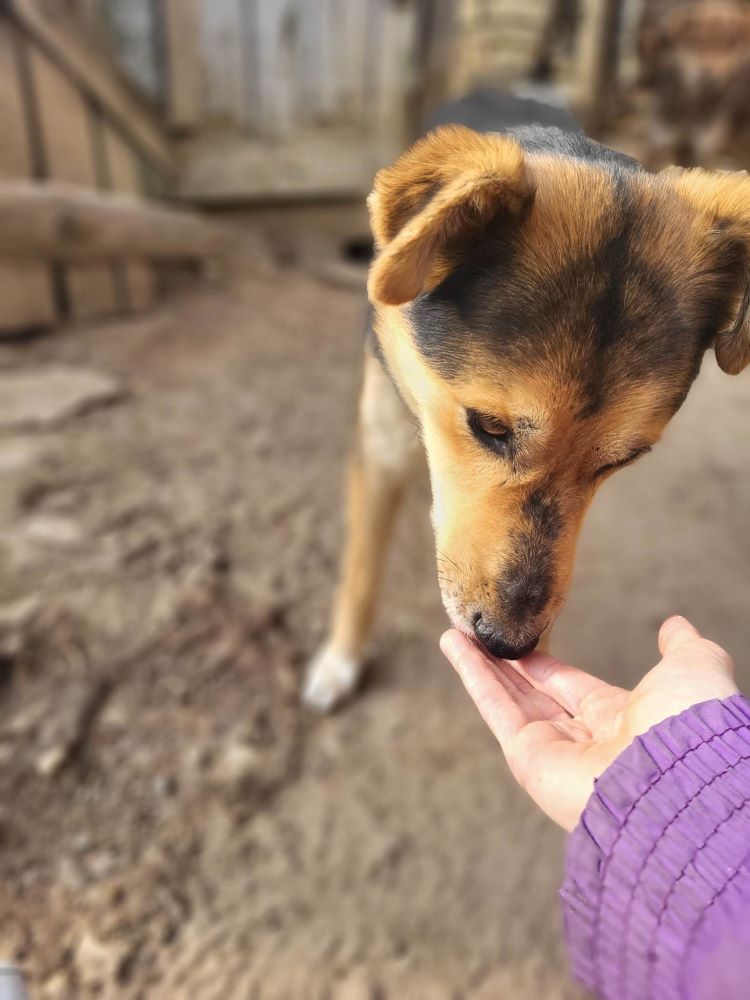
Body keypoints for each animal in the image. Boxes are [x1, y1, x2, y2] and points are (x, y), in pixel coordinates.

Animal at [302, 88, 750, 712]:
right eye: (488, 426)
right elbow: (362, 571)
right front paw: (341, 659)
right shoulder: (381, 445)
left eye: (623, 460)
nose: (507, 646)